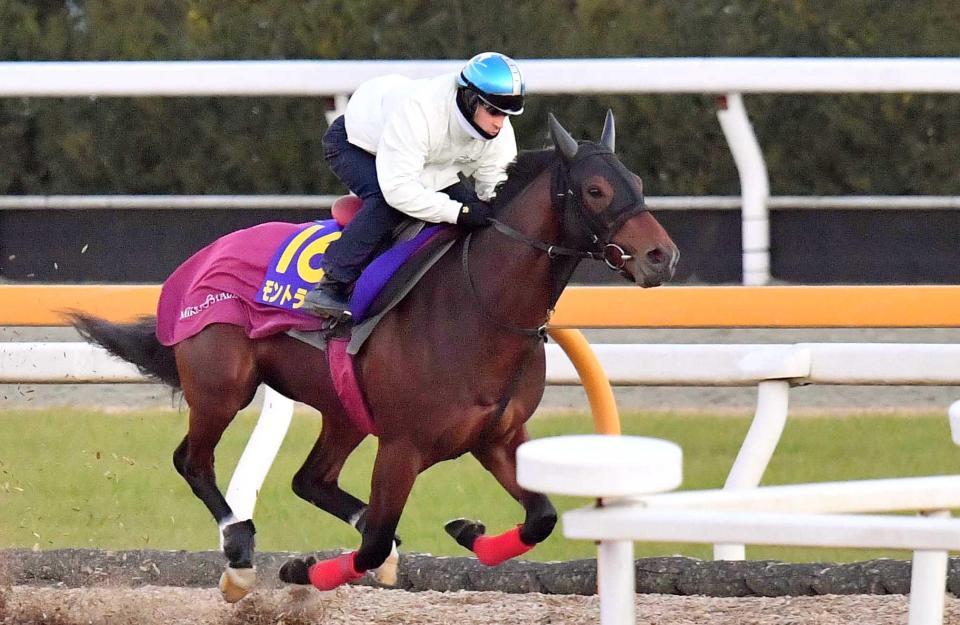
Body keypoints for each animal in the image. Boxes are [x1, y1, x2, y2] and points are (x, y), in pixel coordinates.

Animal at [69, 111, 684, 596]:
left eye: (637, 180)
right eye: (596, 190)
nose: (662, 256)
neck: (478, 304)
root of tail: (197, 262)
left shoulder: (497, 436)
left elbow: (542, 518)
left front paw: (468, 532)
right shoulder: (402, 448)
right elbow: (367, 551)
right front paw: (299, 571)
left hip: (343, 409)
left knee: (310, 480)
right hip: (223, 385)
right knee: (193, 462)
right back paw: (239, 552)